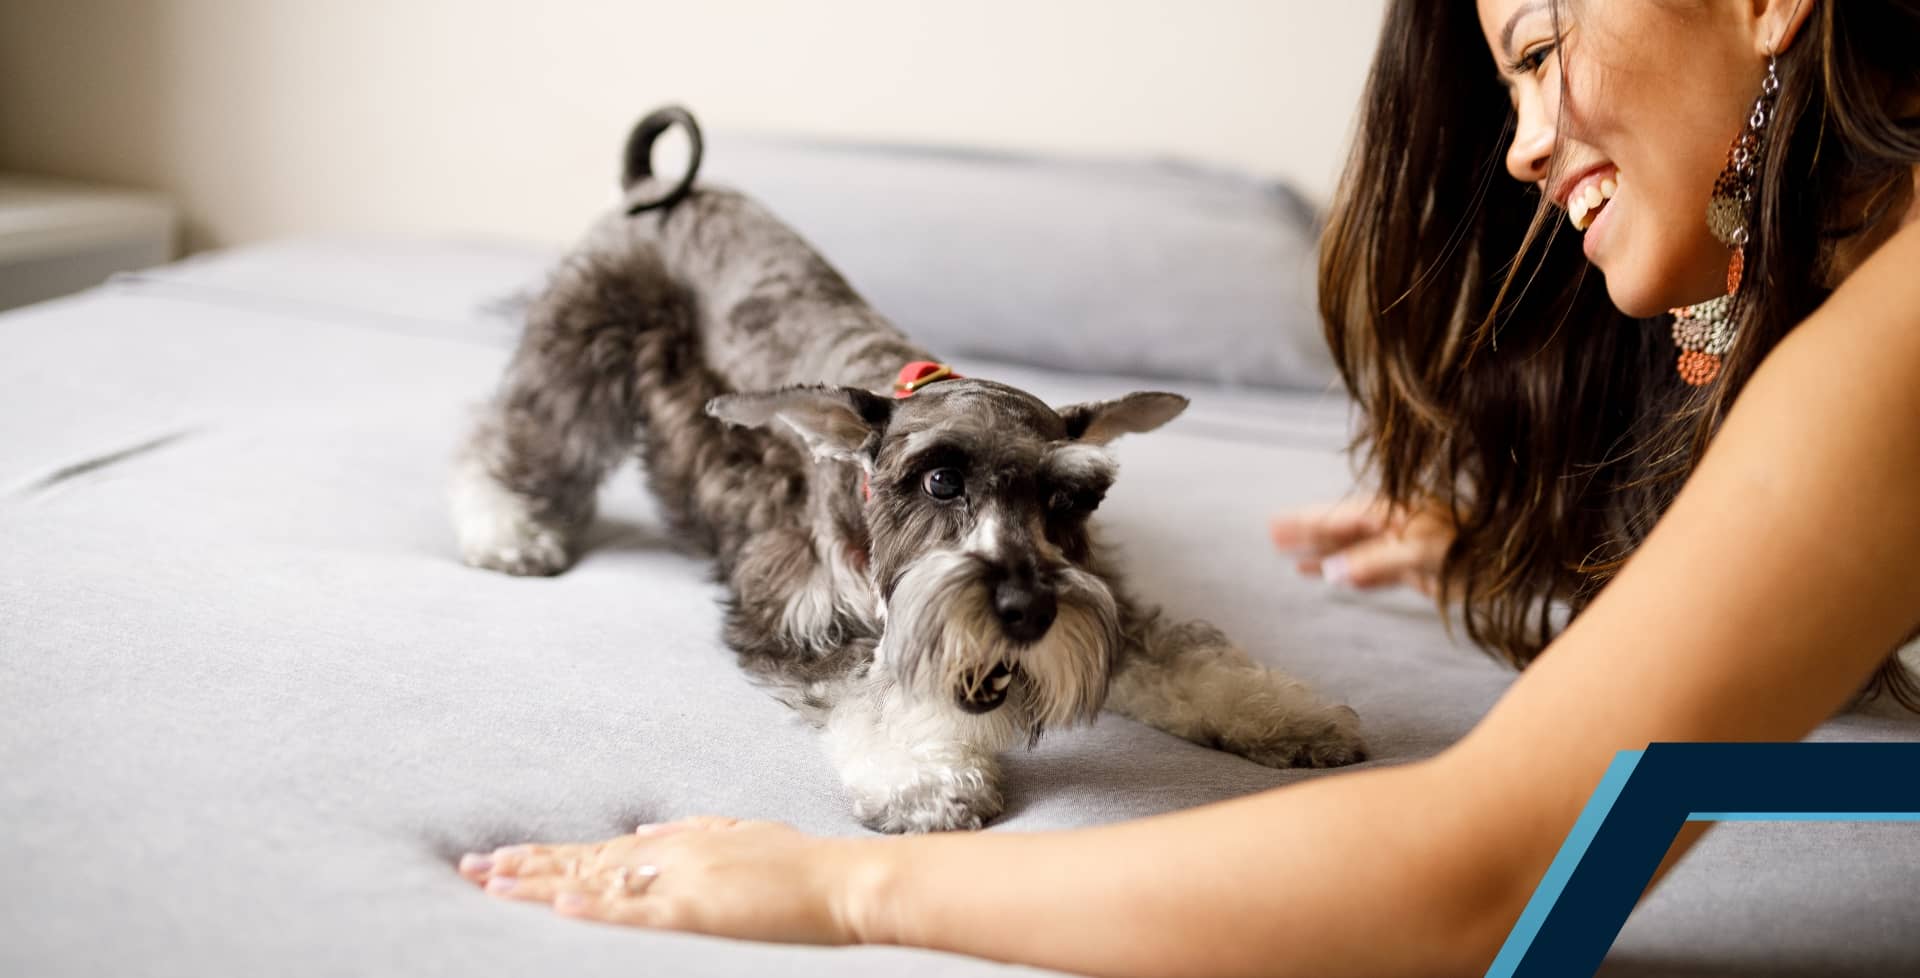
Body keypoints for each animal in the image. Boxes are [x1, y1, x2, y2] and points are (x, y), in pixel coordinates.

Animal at [453, 108, 1367, 830]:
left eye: (1069, 498)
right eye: (940, 481)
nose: (1027, 612)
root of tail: (657, 190)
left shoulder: (1103, 591)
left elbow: (1182, 653)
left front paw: (1291, 715)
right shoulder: (804, 614)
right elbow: (873, 690)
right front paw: (926, 776)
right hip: (583, 349)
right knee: (517, 436)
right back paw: (508, 528)